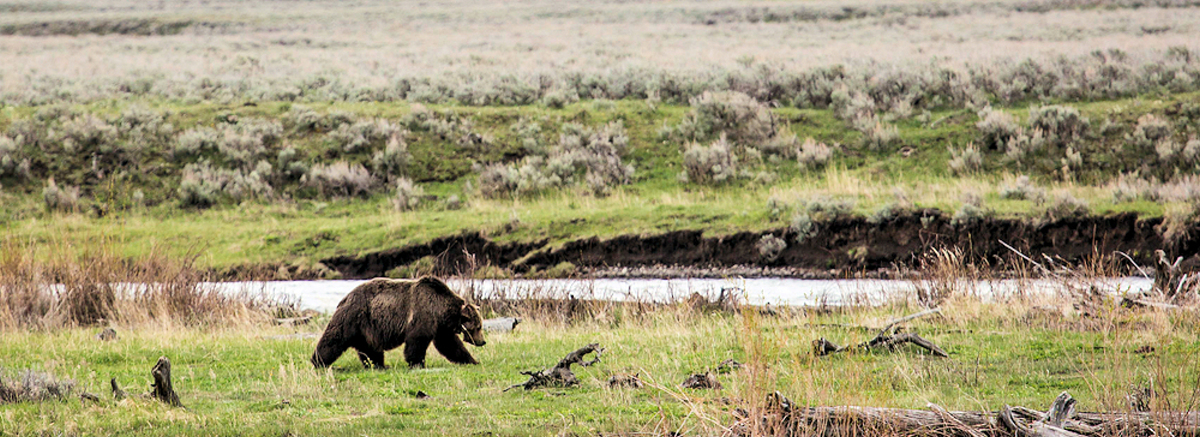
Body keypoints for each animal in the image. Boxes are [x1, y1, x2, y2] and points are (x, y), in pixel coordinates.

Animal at [310, 277, 486, 369]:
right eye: (478, 326)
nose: (482, 341)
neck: (440, 309)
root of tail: (345, 297)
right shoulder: (422, 316)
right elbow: (417, 342)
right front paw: (417, 363)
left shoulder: (441, 327)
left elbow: (450, 345)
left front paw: (472, 360)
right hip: (355, 317)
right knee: (335, 338)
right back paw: (318, 361)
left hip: (366, 329)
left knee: (370, 349)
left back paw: (379, 365)